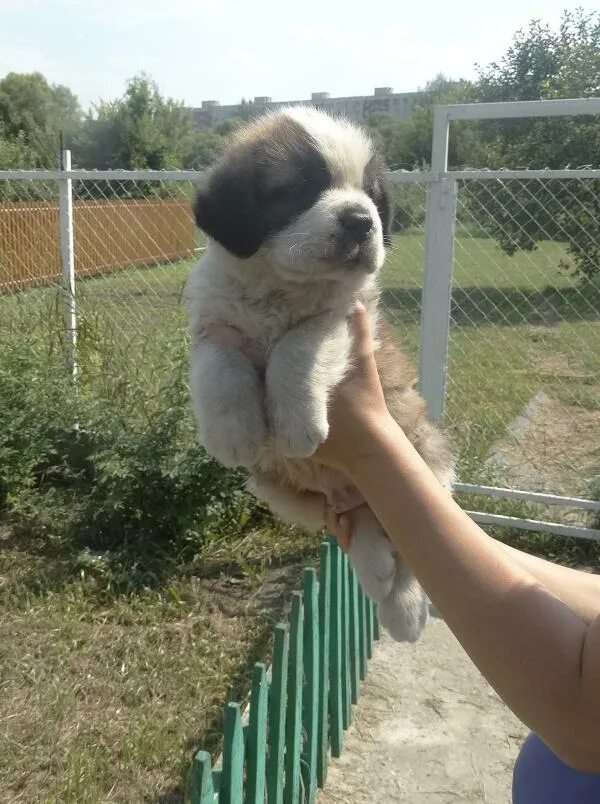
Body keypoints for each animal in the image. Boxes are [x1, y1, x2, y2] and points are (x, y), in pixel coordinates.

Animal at [185, 107, 452, 640]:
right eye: (300, 189)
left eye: (371, 194)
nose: (361, 221)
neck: (279, 287)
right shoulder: (213, 322)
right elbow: (218, 366)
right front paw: (231, 433)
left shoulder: (345, 317)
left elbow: (297, 346)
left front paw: (297, 424)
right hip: (273, 489)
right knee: (362, 521)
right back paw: (375, 569)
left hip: (426, 454)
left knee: (414, 543)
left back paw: (405, 609)